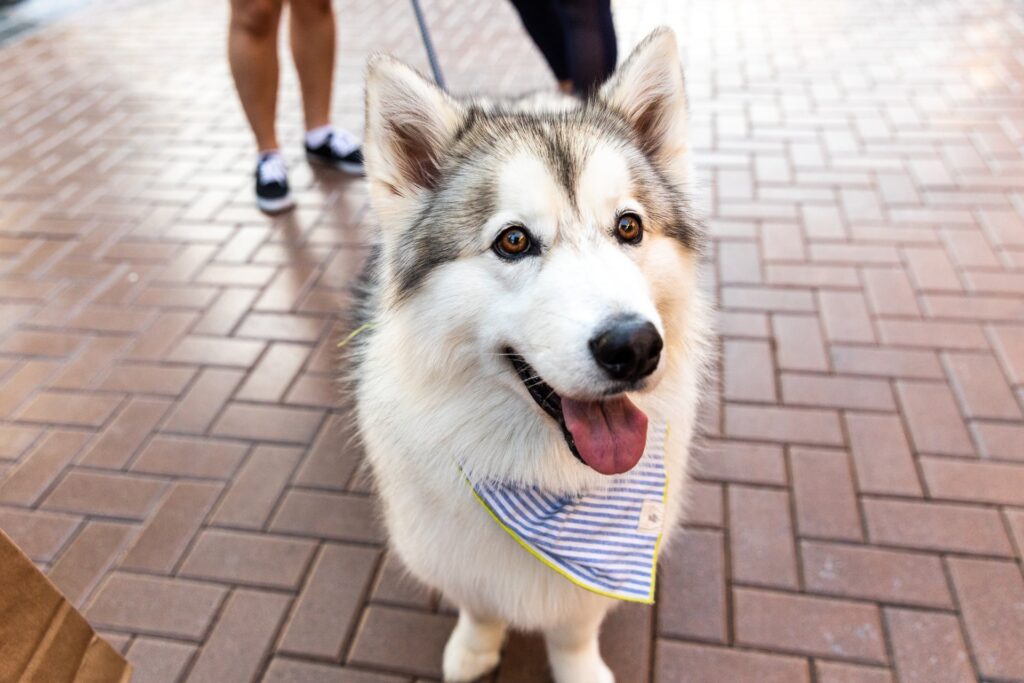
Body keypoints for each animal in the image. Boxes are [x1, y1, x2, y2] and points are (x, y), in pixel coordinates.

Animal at [348, 26, 708, 683]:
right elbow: (479, 607)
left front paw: (579, 669)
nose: (634, 346)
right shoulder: (448, 553)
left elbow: (573, 630)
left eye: (629, 227)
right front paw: (473, 650)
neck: (546, 476)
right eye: (513, 241)